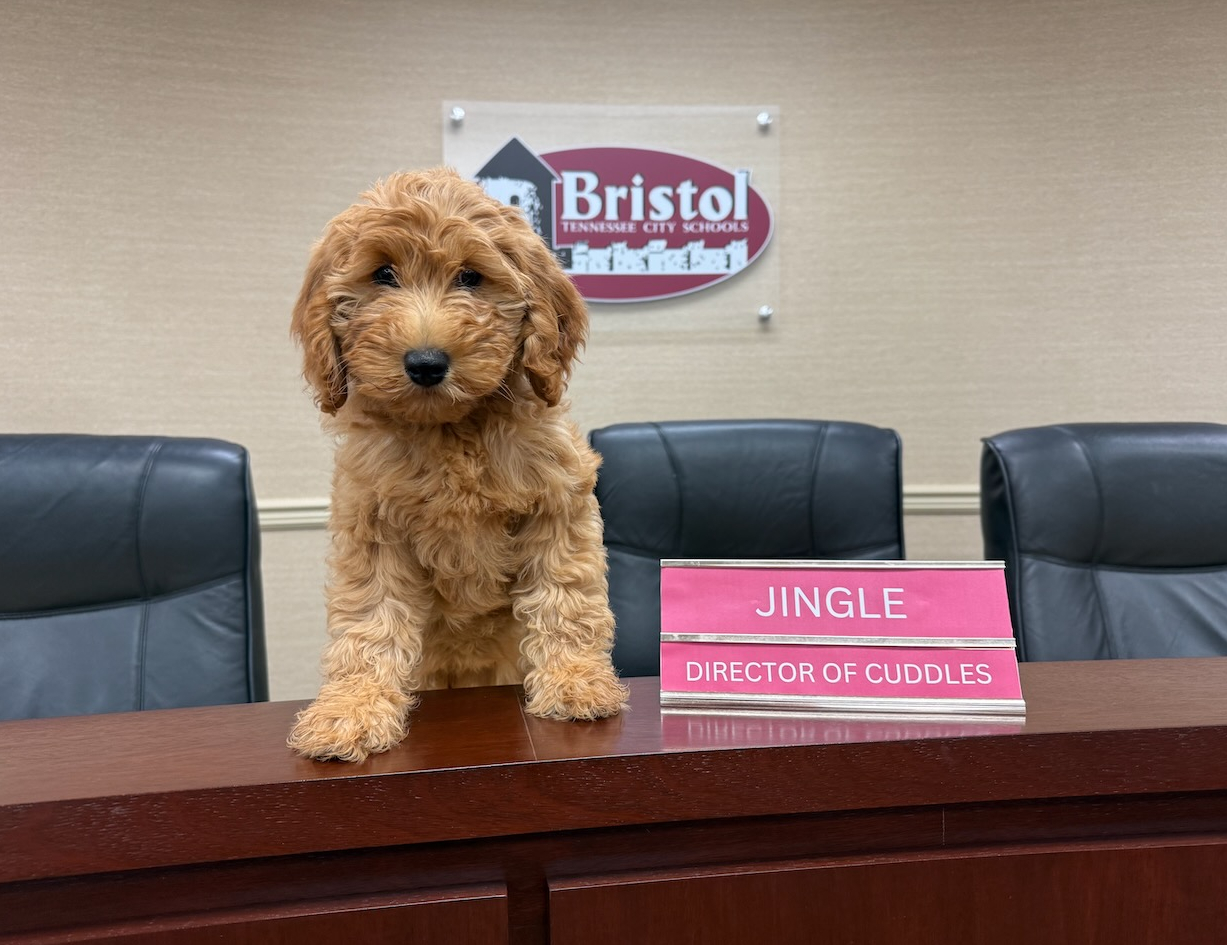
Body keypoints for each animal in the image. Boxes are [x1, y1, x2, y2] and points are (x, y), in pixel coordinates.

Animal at [285, 166, 628, 756]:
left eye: (470, 277)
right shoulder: (372, 526)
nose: (426, 363)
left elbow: (565, 596)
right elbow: (369, 618)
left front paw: (576, 682)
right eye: (383, 274)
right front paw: (350, 711)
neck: (451, 429)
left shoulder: (559, 501)